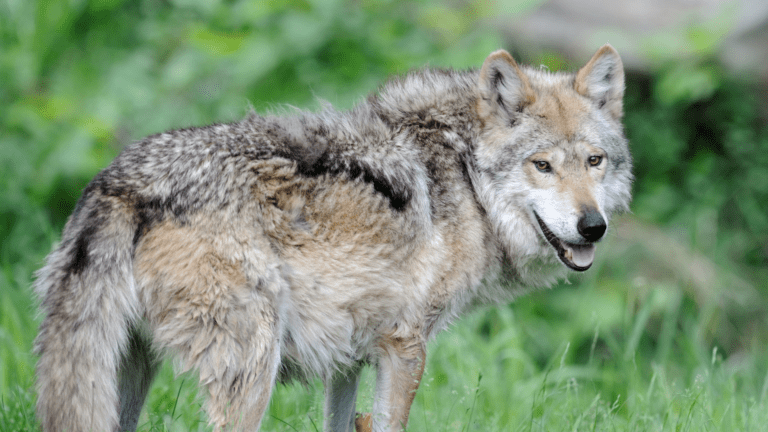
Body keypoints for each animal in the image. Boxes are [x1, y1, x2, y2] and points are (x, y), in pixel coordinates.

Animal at [34, 45, 632, 430]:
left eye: (594, 161)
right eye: (542, 165)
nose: (592, 226)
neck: (465, 177)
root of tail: (123, 182)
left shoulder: (349, 358)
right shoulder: (405, 347)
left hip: (126, 371)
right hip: (250, 375)